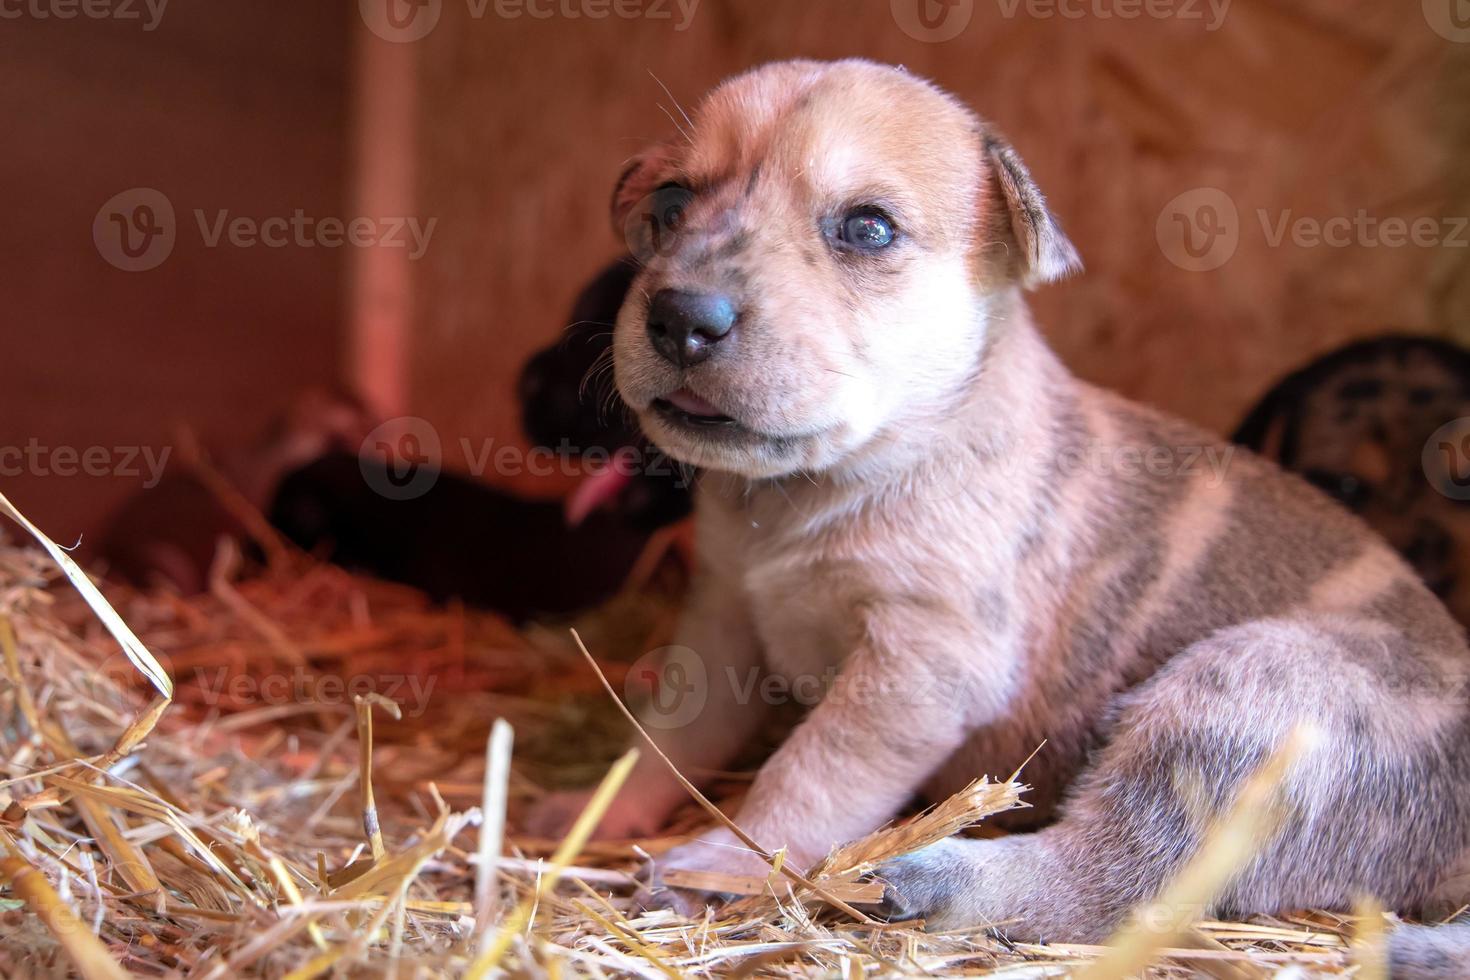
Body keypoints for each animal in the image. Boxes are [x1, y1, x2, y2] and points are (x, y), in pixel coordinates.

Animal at [535, 59, 1470, 975]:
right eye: (669, 206)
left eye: (868, 229)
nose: (680, 318)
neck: (816, 488)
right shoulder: (725, 616)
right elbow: (669, 738)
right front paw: (595, 811)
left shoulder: (920, 663)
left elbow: (807, 776)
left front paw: (720, 864)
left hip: (1236, 702)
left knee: (1115, 877)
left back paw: (934, 875)